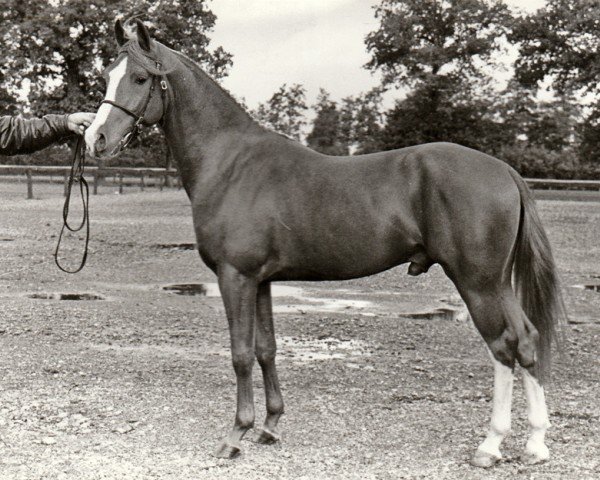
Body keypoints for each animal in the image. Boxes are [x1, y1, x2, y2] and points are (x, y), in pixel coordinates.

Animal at [85, 19, 568, 468]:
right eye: (108, 73)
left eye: (140, 78)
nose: (95, 139)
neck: (231, 163)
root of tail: (504, 171)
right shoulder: (261, 281)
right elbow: (266, 350)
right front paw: (270, 426)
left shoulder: (235, 277)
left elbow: (241, 354)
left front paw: (235, 435)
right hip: (496, 283)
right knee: (526, 340)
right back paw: (535, 444)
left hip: (479, 283)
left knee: (506, 345)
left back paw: (492, 445)